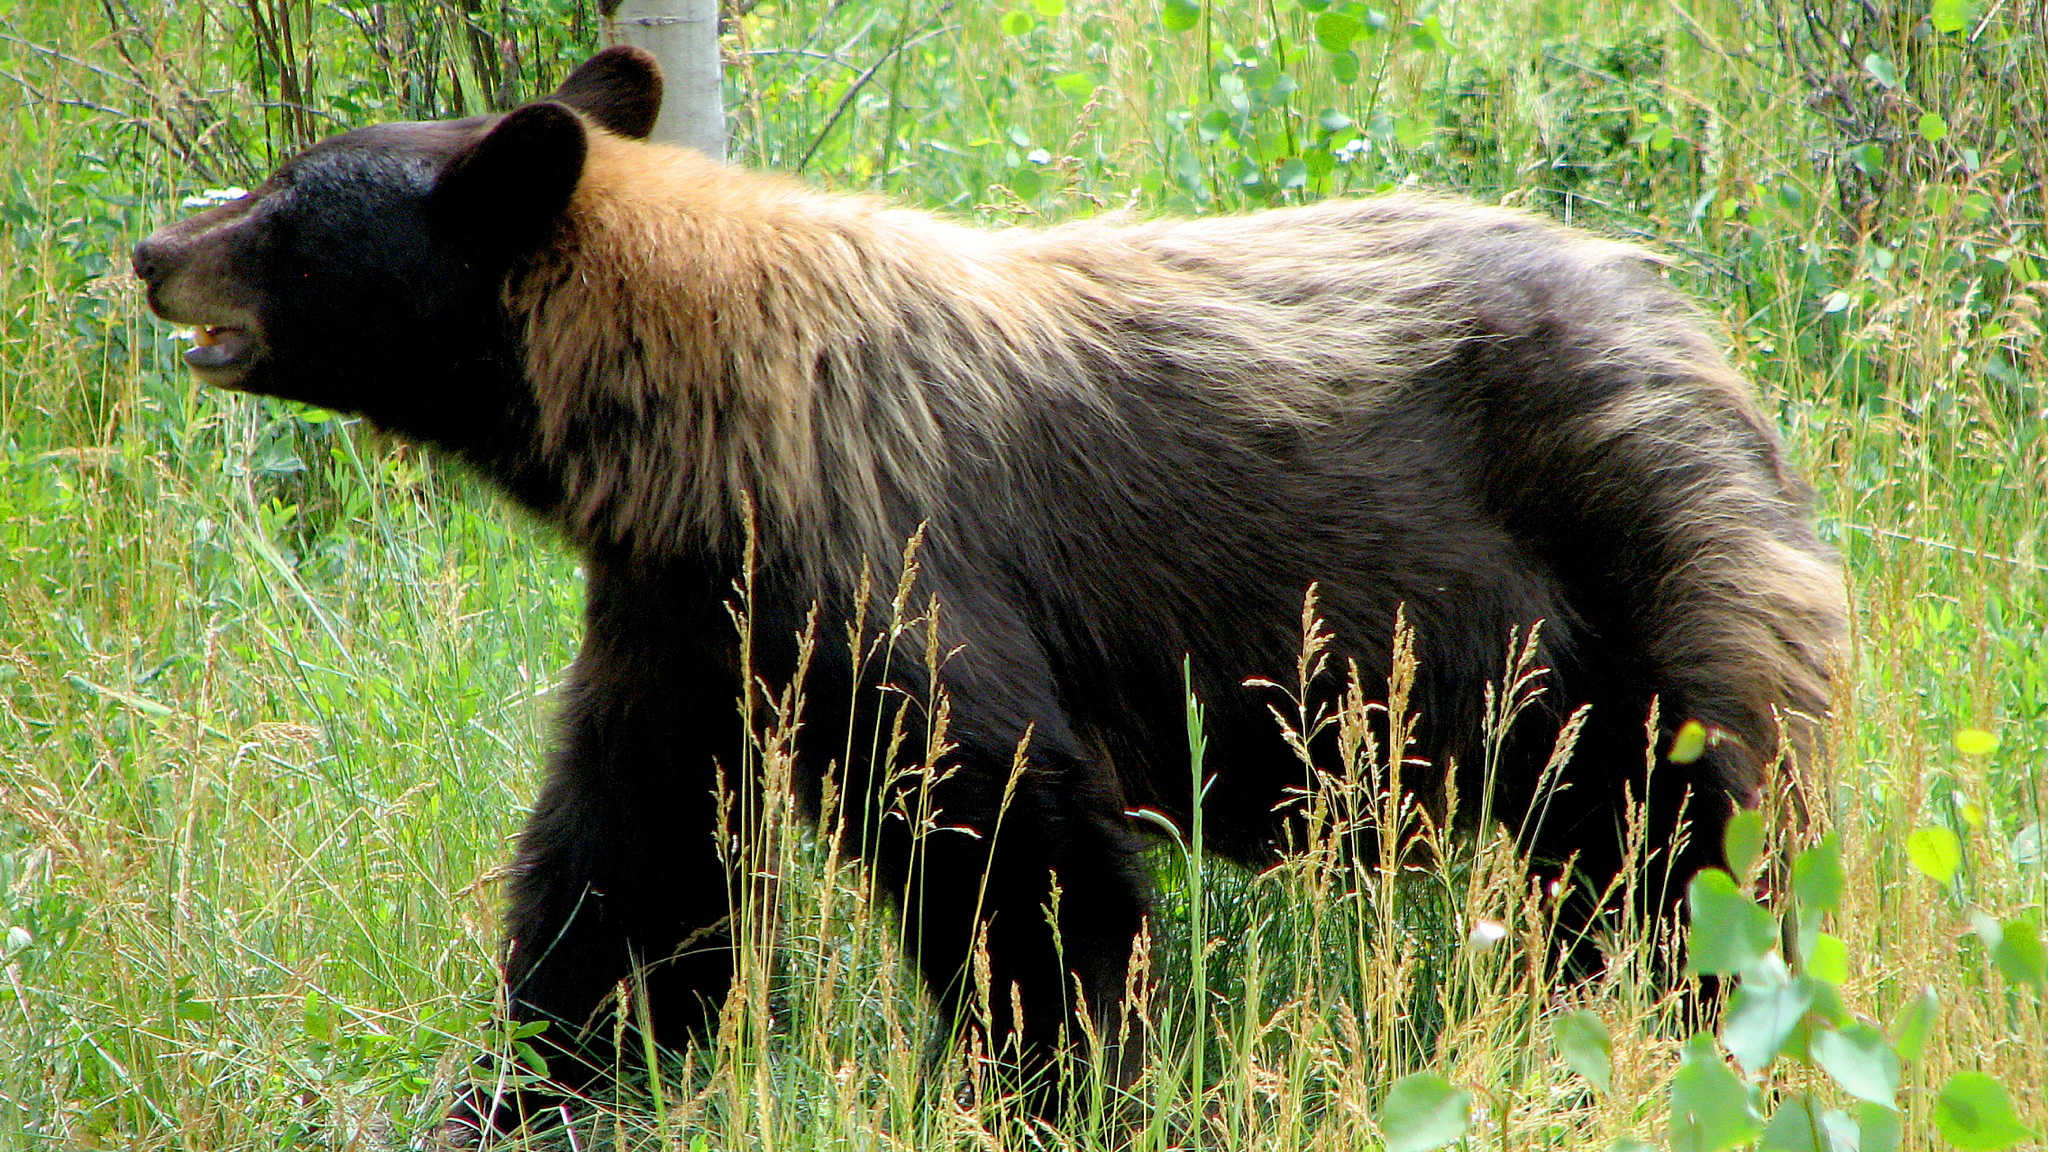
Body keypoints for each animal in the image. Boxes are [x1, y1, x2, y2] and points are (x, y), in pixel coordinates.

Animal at [136, 47, 1851, 1139]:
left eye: (283, 198)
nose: (151, 245)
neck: (713, 417)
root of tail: (1705, 342)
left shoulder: (888, 551)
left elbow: (1009, 838)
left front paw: (1048, 1092)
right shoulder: (691, 613)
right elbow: (635, 861)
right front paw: (532, 1086)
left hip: (1636, 587)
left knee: (1685, 854)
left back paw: (1696, 1040)